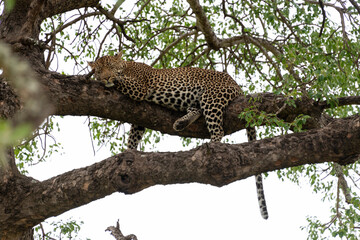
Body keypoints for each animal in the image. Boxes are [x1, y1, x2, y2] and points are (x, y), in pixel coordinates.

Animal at [87, 52, 268, 219]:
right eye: (99, 70)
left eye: (110, 66)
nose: (106, 77)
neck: (126, 66)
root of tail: (237, 85)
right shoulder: (139, 119)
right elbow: (134, 136)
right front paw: (128, 151)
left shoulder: (139, 87)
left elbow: (121, 80)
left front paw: (110, 79)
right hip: (196, 100)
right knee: (197, 111)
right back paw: (181, 123)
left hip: (211, 98)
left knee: (218, 130)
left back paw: (210, 146)